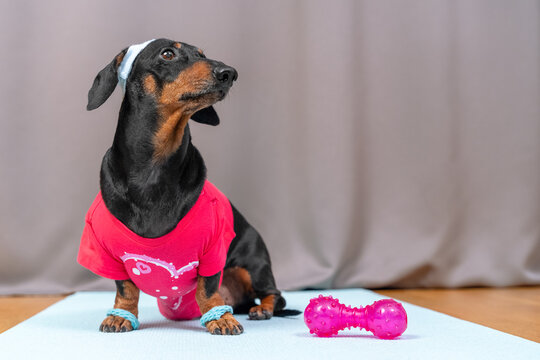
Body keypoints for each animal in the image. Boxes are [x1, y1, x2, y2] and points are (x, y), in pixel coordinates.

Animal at [78, 38, 288, 334]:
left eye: (202, 54)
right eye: (168, 54)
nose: (230, 73)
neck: (154, 167)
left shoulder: (213, 247)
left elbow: (207, 287)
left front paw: (219, 317)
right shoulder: (109, 253)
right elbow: (126, 288)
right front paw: (121, 315)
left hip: (254, 263)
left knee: (274, 294)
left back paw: (261, 309)